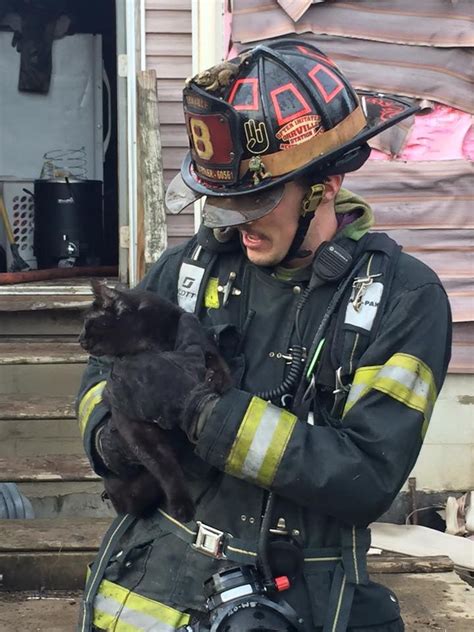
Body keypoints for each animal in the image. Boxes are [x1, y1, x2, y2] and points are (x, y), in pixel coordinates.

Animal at [79, 278, 231, 520]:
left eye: (88, 323)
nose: (79, 339)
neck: (148, 344)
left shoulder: (191, 330)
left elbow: (212, 354)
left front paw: (218, 378)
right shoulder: (131, 420)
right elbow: (163, 465)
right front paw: (181, 505)